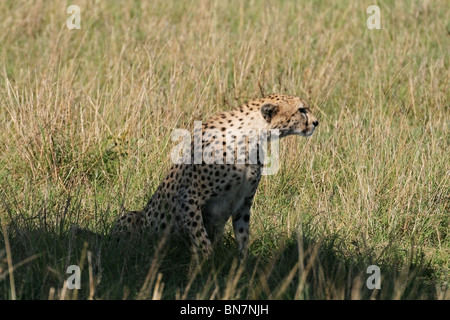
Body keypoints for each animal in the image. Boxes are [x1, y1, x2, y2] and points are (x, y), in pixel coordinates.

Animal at [114, 94, 318, 258]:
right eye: (301, 110)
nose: (316, 122)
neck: (252, 138)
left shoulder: (244, 201)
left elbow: (243, 234)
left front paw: (242, 265)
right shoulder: (189, 197)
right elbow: (200, 237)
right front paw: (209, 267)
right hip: (131, 218)